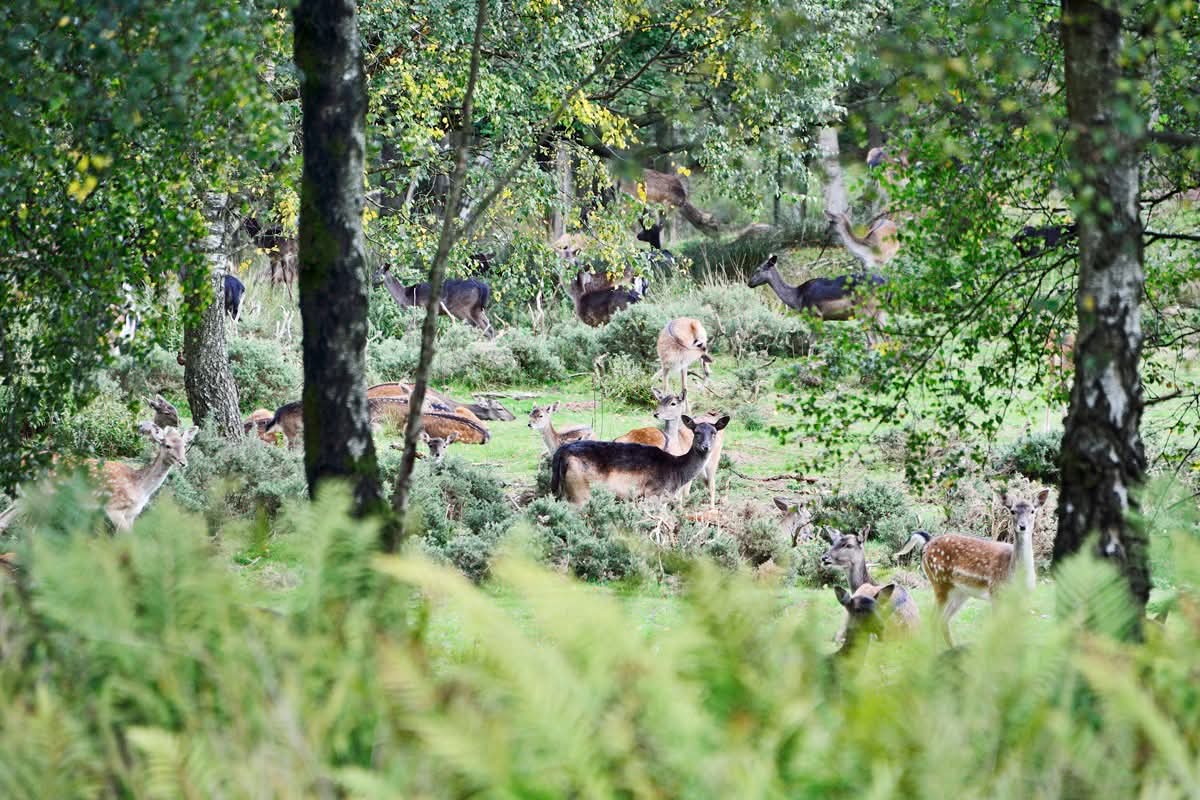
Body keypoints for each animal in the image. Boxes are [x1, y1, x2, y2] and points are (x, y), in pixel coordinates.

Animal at [551, 415, 730, 506]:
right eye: (696, 431)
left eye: (714, 432)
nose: (706, 446)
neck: (676, 473)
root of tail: (560, 453)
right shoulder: (653, 494)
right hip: (579, 491)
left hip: (560, 490)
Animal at [922, 488, 1050, 645]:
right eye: (1012, 511)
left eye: (1032, 511)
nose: (1022, 526)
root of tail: (926, 547)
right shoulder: (996, 593)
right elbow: (998, 630)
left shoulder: (1022, 599)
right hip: (939, 582)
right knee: (933, 618)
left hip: (959, 592)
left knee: (943, 620)